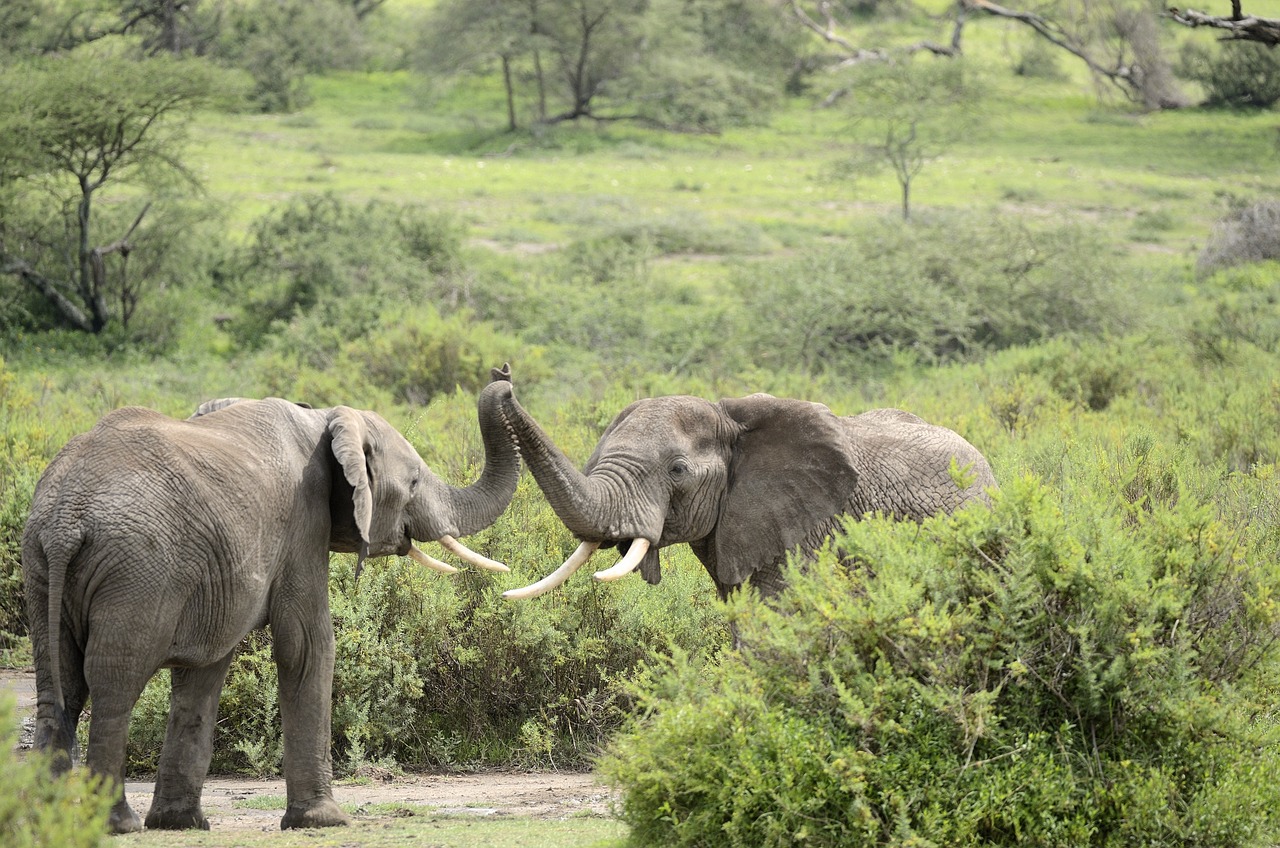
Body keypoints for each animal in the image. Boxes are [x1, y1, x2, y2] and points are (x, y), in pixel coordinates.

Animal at [21, 371, 519, 835]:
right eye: (413, 480)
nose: (505, 378)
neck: (325, 419)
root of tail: (65, 521)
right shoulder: (304, 520)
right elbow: (307, 645)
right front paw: (323, 820)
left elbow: (204, 672)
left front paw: (182, 823)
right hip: (137, 571)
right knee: (113, 685)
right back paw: (118, 823)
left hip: (41, 566)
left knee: (58, 685)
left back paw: (46, 819)